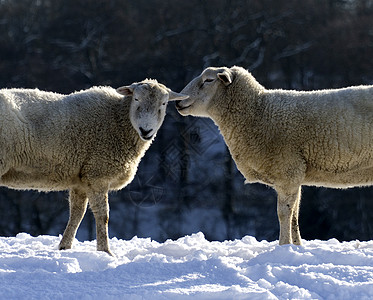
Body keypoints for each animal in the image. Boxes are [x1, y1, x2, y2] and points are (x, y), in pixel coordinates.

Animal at [0, 78, 186, 254]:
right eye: (136, 99)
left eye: (163, 103)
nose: (146, 130)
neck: (118, 120)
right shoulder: (98, 174)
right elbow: (103, 215)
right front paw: (105, 252)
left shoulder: (81, 179)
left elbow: (77, 213)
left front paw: (65, 247)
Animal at [176, 65, 372, 244]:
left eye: (208, 80)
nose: (178, 101)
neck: (258, 112)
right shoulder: (294, 176)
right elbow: (295, 215)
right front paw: (297, 246)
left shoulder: (287, 171)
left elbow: (284, 213)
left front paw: (284, 245)